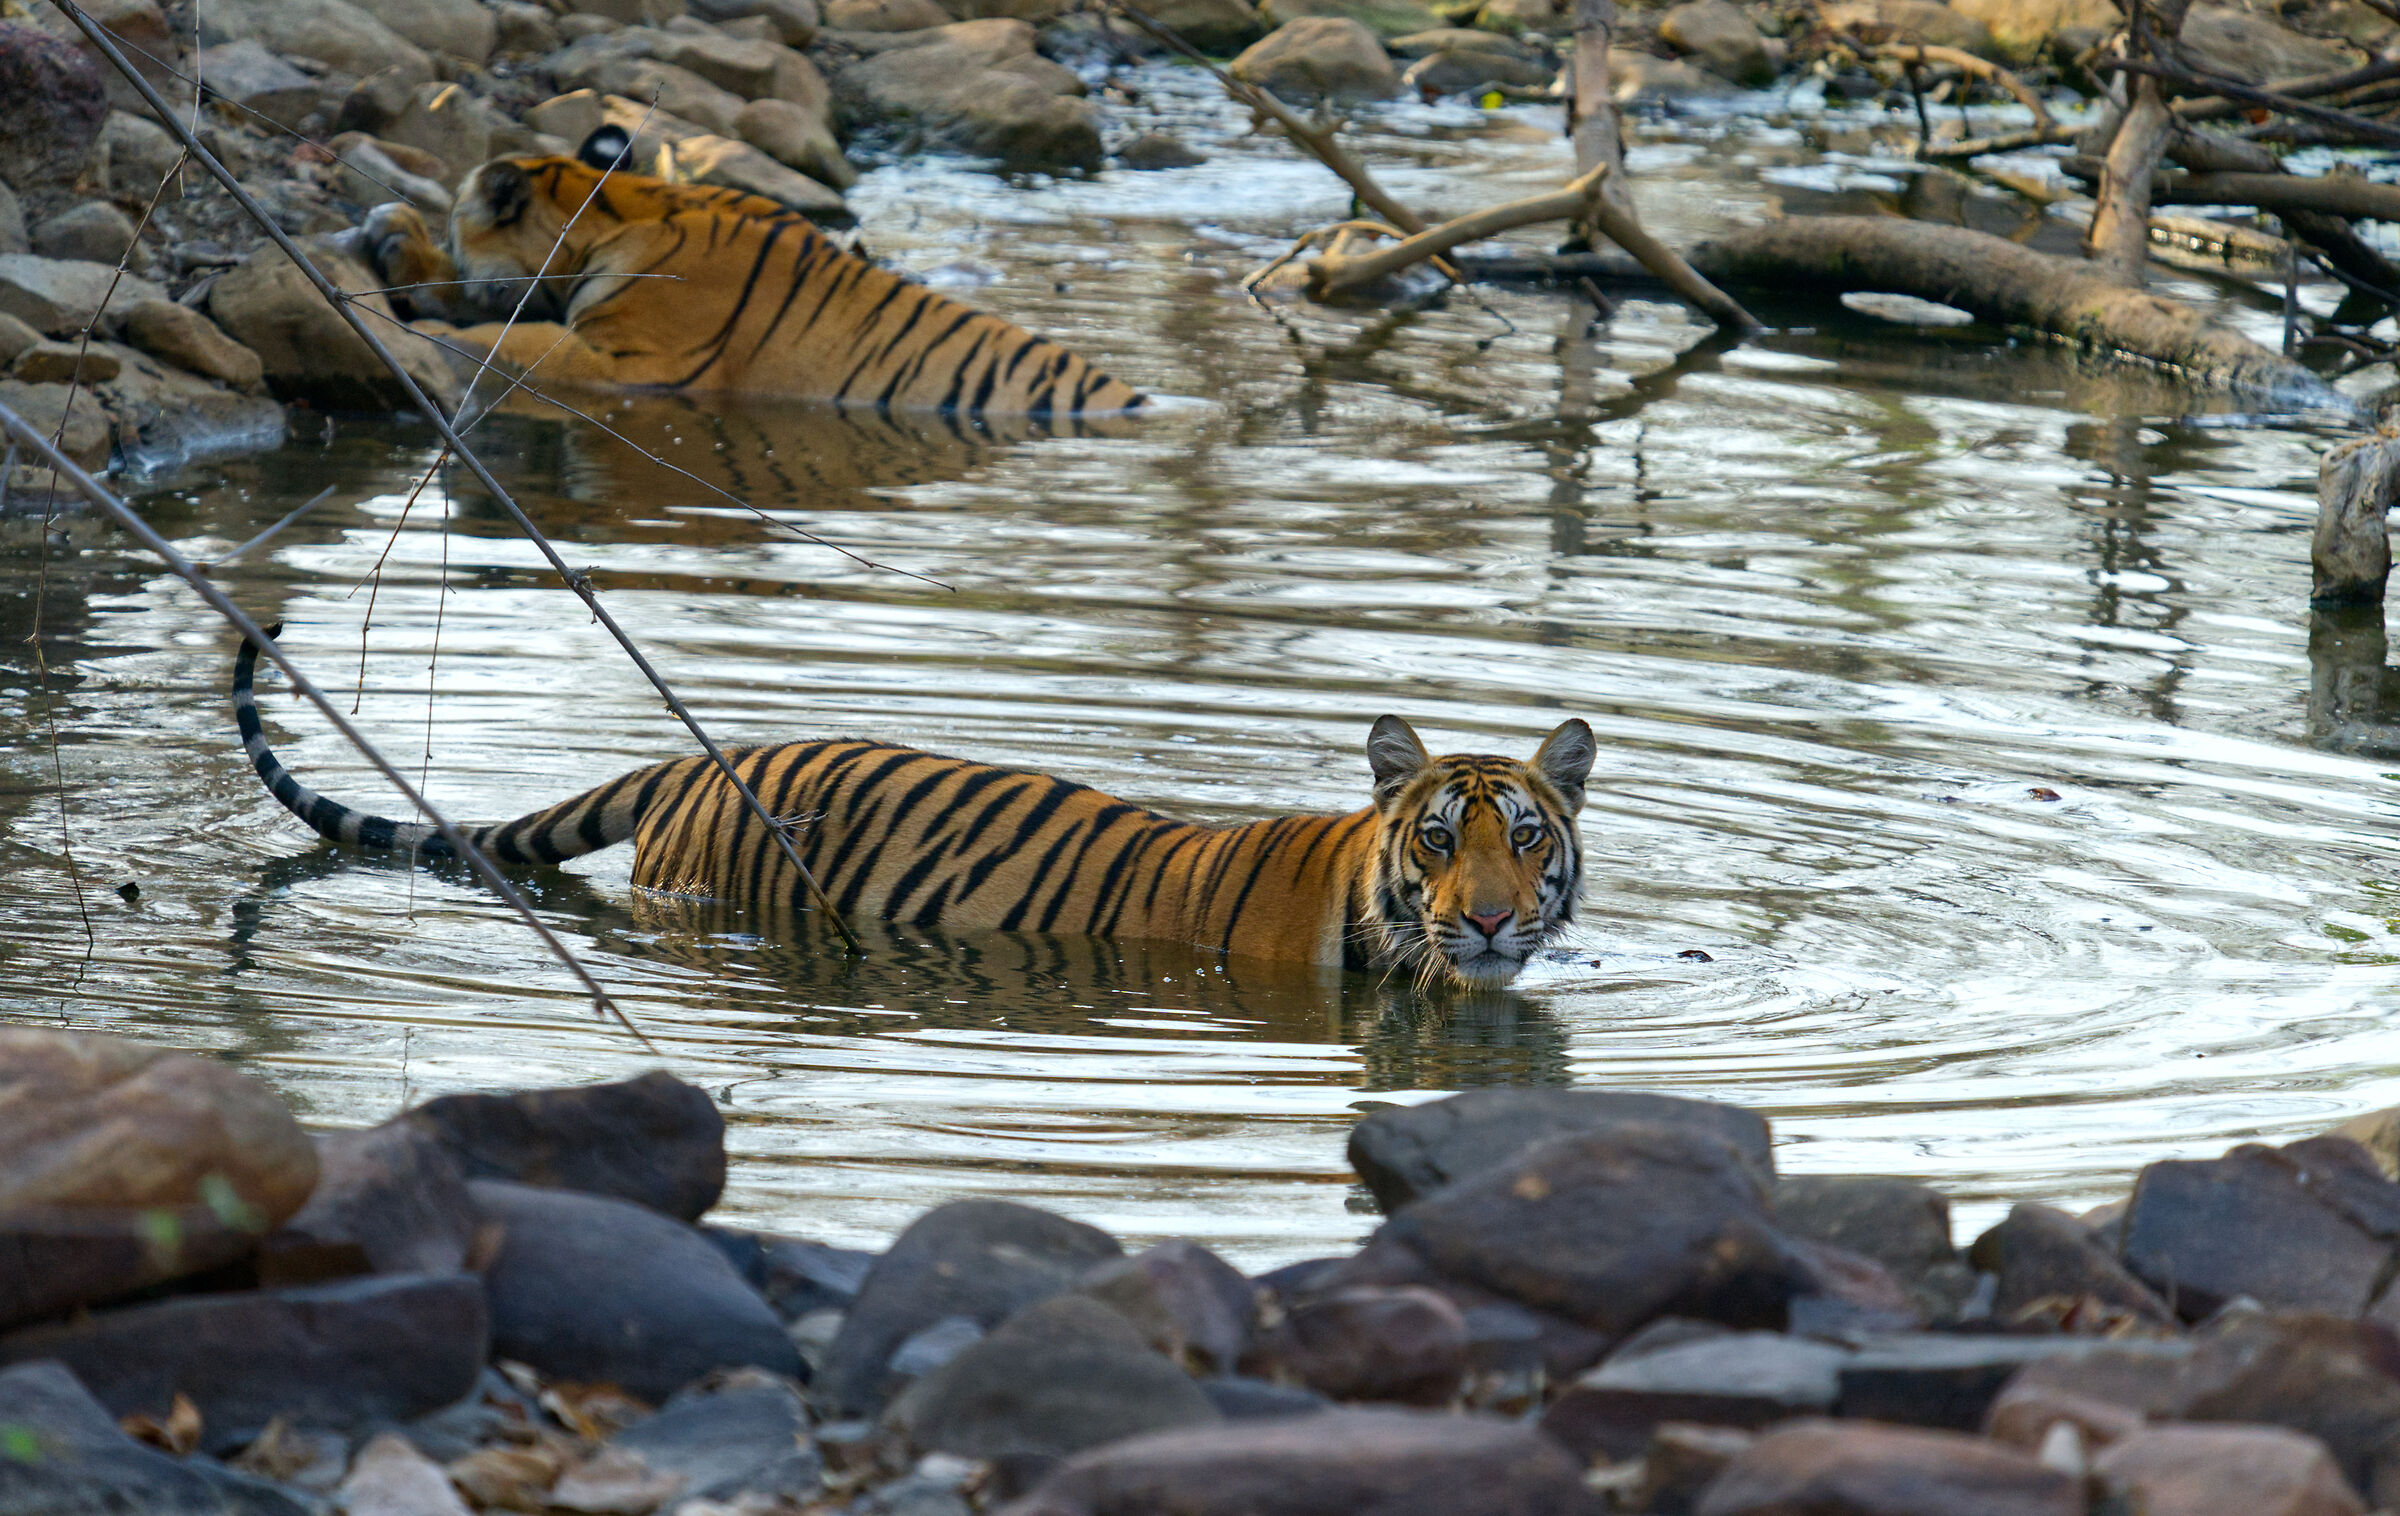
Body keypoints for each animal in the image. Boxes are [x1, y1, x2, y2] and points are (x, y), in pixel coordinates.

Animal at [355, 127, 1142, 417]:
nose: (401, 231)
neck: (620, 213)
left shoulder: (638, 365)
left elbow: (506, 343)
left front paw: (429, 335)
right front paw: (393, 239)